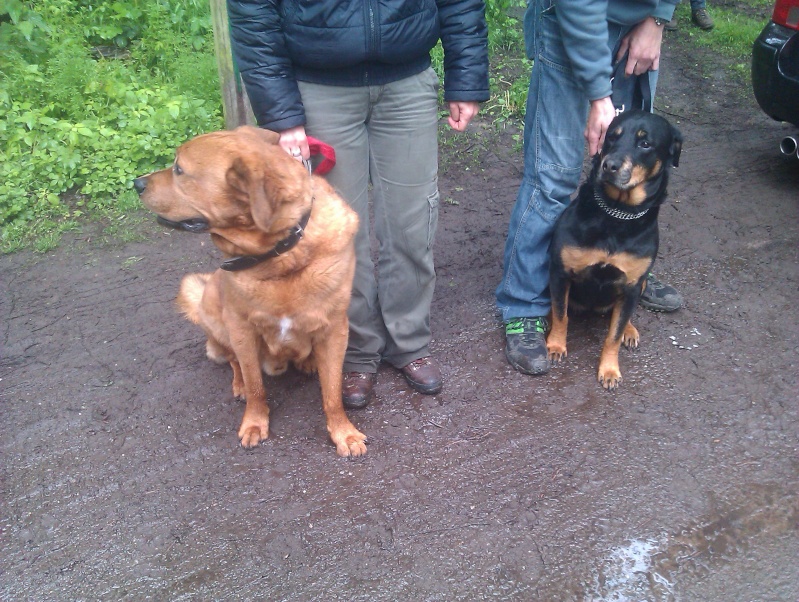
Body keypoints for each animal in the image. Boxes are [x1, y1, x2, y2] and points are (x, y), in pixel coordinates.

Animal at [133, 125, 368, 454]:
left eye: (179, 169)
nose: (136, 183)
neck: (281, 255)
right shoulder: (241, 328)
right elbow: (256, 385)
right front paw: (254, 423)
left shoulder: (335, 329)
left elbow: (332, 392)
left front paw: (343, 432)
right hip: (214, 313)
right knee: (235, 363)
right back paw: (240, 384)